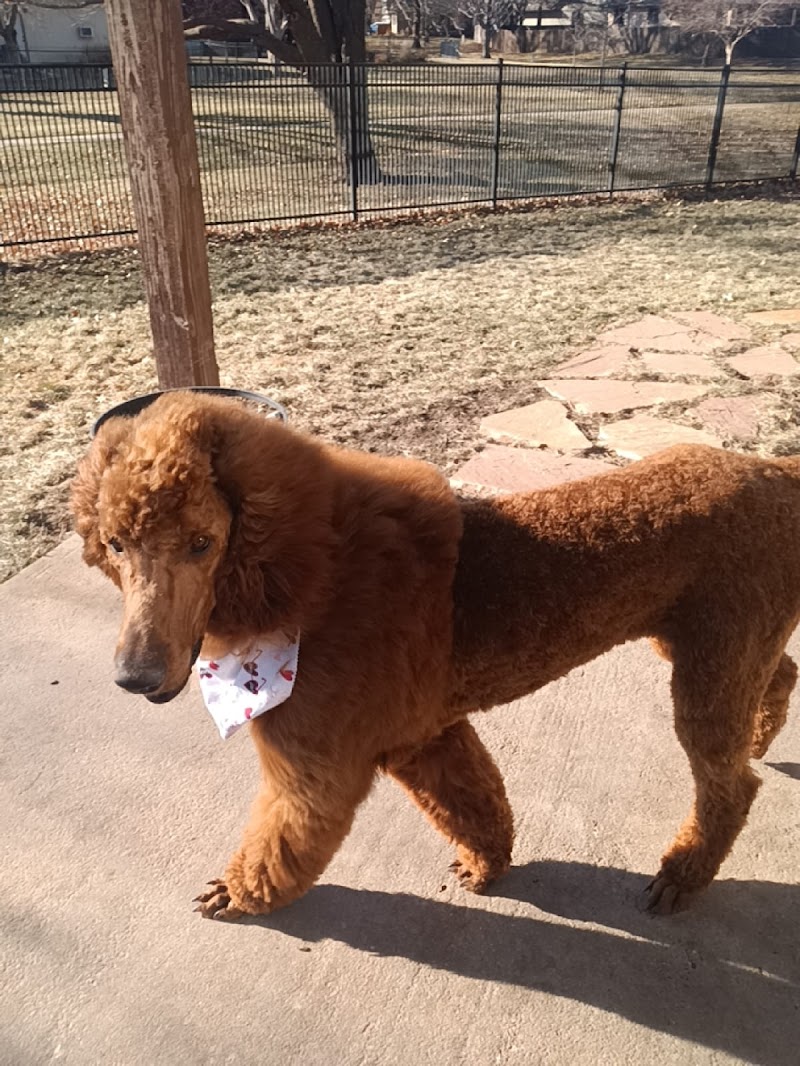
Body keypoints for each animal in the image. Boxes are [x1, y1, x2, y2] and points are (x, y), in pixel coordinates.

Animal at [71, 391, 799, 920]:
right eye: (114, 544)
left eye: (202, 543)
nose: (134, 677)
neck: (315, 580)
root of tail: (777, 474)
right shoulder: (424, 735)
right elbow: (473, 804)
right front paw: (488, 866)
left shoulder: (317, 770)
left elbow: (279, 843)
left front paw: (240, 894)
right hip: (709, 641)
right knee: (780, 676)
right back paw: (763, 737)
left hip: (712, 663)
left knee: (729, 788)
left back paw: (683, 874)